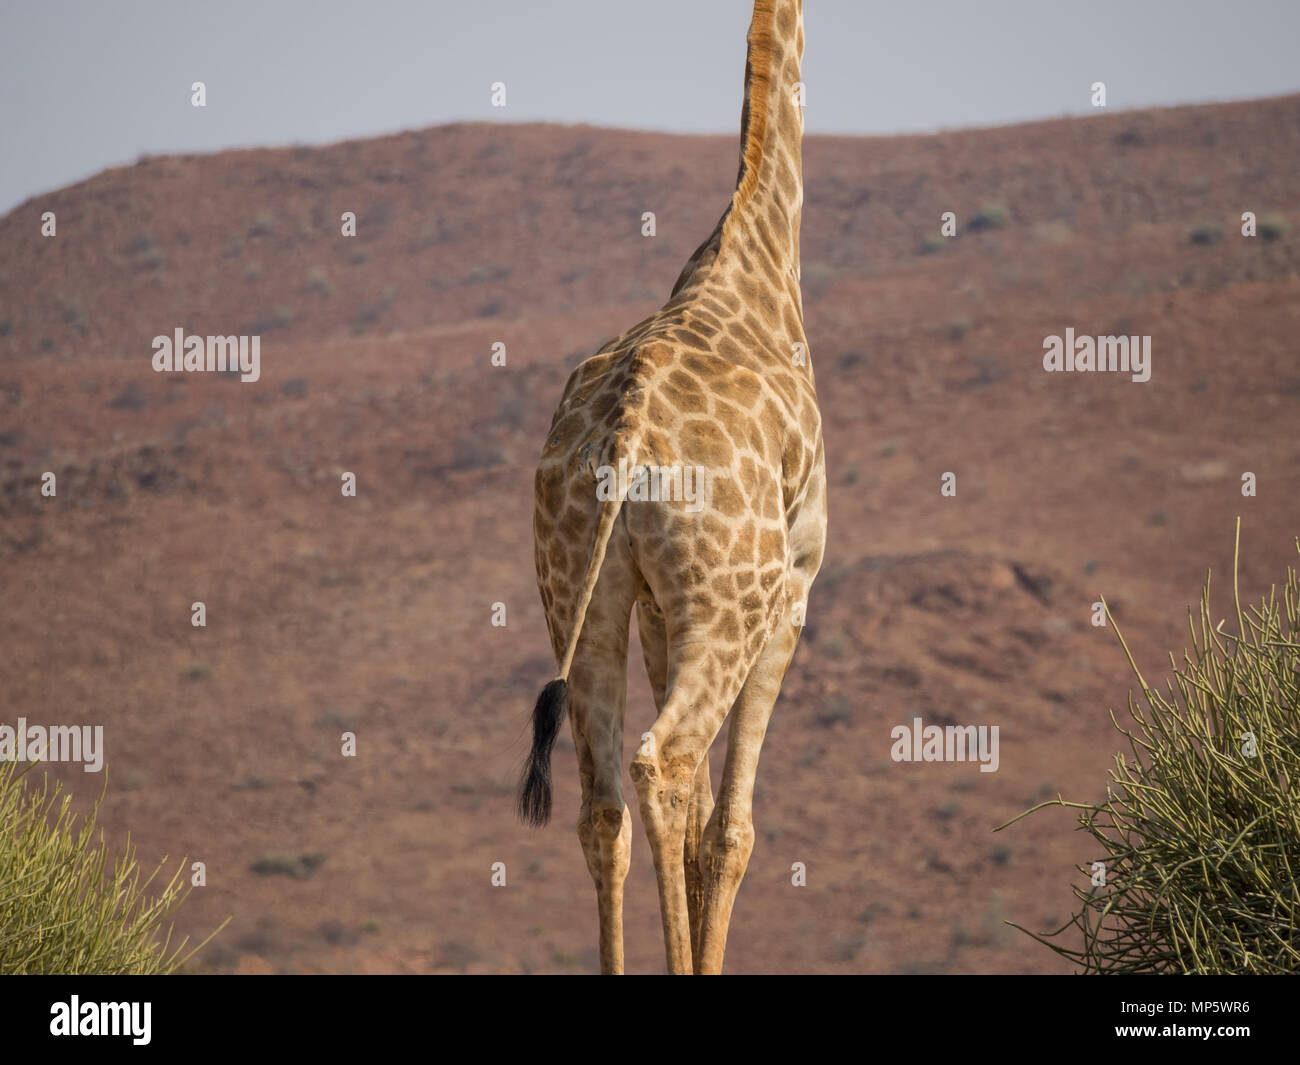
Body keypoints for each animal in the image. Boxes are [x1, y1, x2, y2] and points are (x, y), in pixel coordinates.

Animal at [514, 0, 821, 972]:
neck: (759, 251)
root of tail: (628, 432)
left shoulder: (656, 606)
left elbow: (691, 831)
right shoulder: (793, 588)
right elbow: (730, 831)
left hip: (581, 591)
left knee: (602, 803)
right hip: (729, 601)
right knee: (666, 761)